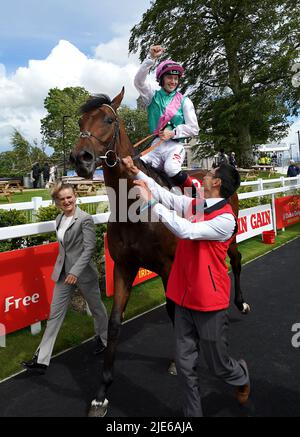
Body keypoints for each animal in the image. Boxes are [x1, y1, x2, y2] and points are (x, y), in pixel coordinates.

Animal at [69, 87, 248, 416]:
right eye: (80, 122)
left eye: (109, 120)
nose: (81, 158)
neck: (134, 211)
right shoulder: (124, 267)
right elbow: (114, 323)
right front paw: (102, 392)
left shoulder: (167, 266)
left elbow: (173, 312)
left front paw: (179, 361)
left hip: (229, 235)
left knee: (237, 260)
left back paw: (240, 303)